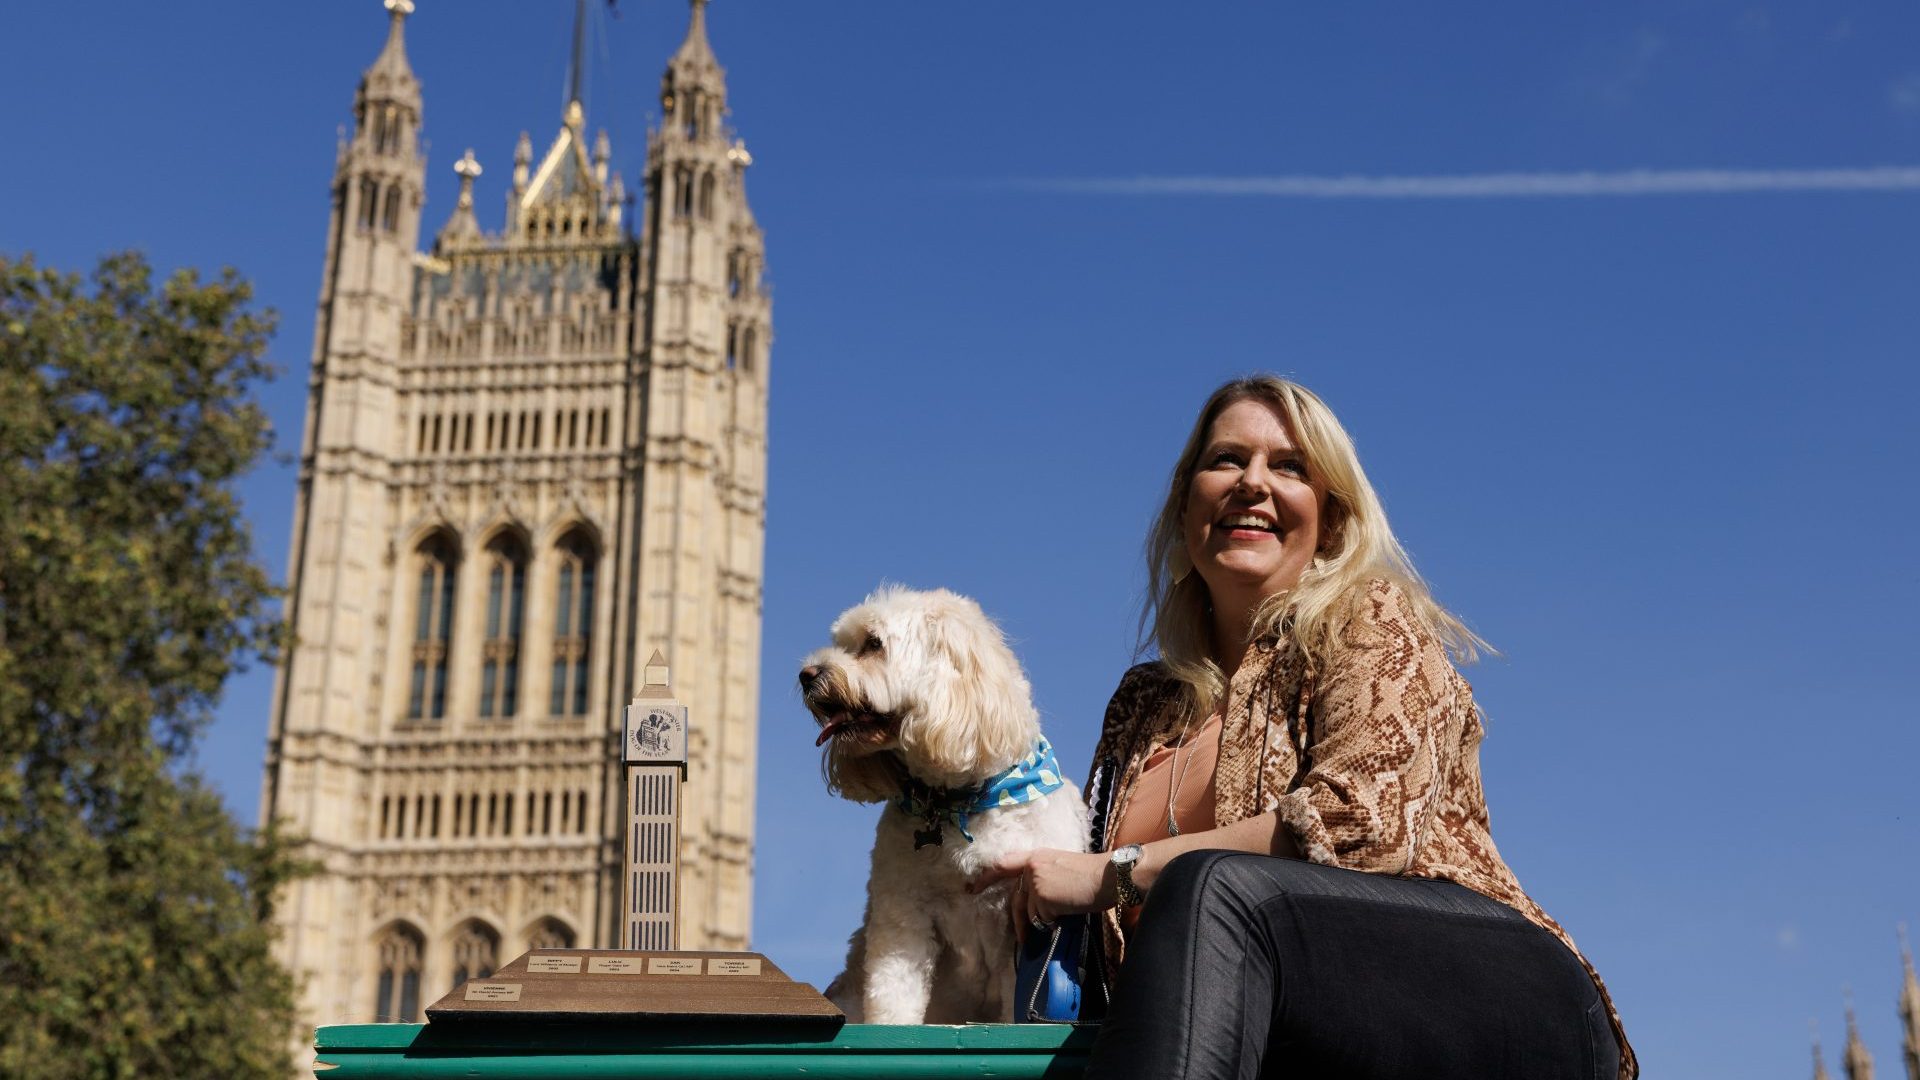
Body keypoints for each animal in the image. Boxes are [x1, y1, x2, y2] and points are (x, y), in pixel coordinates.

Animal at [794, 584, 1090, 1022]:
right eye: (841, 644)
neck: (959, 804)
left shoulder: (1016, 927)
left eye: (873, 644)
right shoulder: (903, 915)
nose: (806, 675)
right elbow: (893, 993)